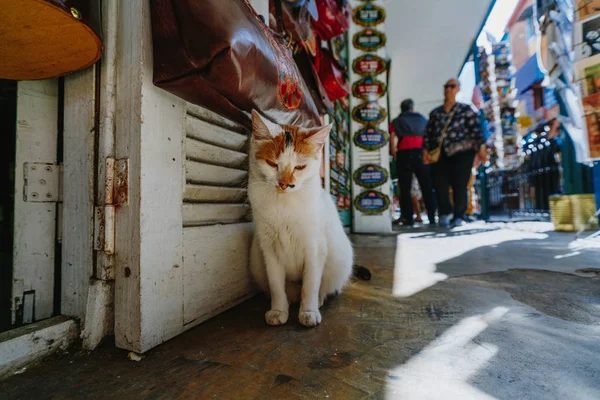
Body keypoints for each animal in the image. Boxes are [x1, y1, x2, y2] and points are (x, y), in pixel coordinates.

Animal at [247, 110, 354, 328]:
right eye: (272, 164)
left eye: (300, 167)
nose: (285, 184)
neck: (284, 204)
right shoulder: (269, 249)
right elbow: (276, 285)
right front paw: (279, 310)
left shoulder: (314, 248)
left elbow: (310, 285)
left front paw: (308, 312)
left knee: (323, 287)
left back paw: (318, 301)